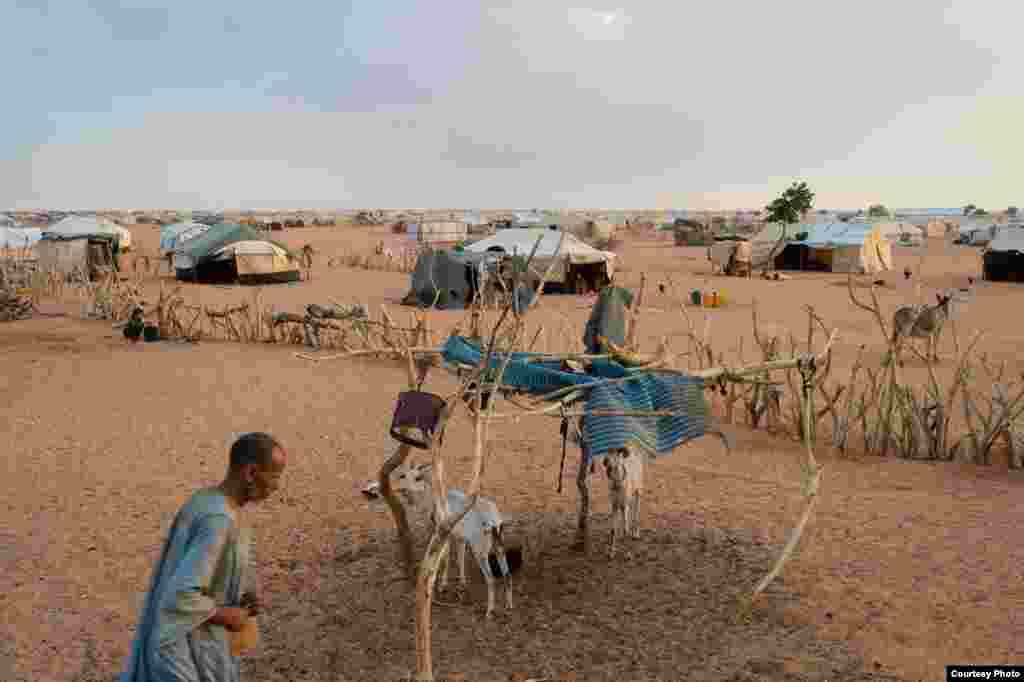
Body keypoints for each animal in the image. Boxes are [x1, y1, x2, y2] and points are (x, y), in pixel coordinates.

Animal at [389, 462, 516, 614]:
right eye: (402, 475)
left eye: (417, 477)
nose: (403, 490)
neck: (434, 501)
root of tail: (493, 520)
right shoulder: (460, 538)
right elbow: (459, 559)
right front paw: (462, 584)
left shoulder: (444, 535)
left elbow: (446, 559)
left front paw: (443, 586)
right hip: (499, 547)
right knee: (507, 574)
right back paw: (509, 606)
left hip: (480, 552)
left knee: (491, 579)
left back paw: (489, 612)